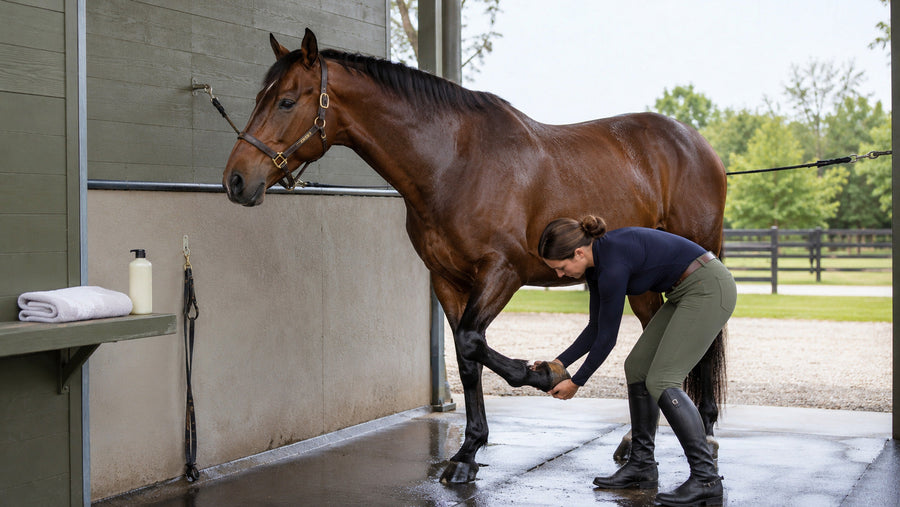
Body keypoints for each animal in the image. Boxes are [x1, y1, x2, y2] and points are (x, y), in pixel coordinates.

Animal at [222, 28, 727, 484]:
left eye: (287, 101)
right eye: (260, 97)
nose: (236, 180)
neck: (454, 163)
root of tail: (698, 144)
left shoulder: (502, 273)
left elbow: (470, 341)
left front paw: (539, 375)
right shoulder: (447, 280)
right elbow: (467, 358)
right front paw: (467, 452)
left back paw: (704, 431)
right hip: (643, 285)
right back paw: (634, 442)